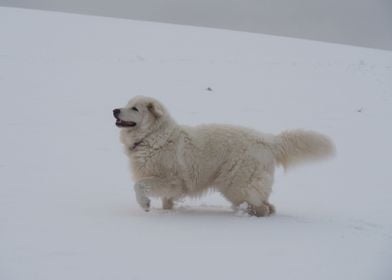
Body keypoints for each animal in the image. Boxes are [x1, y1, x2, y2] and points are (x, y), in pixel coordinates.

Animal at [113, 96, 334, 217]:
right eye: (126, 103)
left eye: (135, 108)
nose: (115, 110)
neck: (153, 136)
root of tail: (268, 140)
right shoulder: (169, 185)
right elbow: (166, 201)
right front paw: (167, 212)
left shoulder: (171, 180)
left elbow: (139, 186)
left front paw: (145, 205)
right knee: (269, 205)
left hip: (236, 184)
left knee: (262, 207)